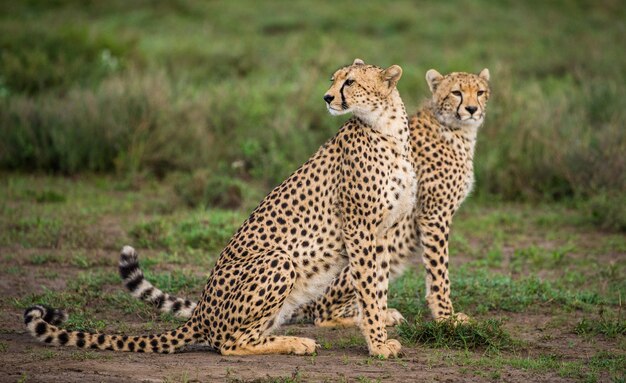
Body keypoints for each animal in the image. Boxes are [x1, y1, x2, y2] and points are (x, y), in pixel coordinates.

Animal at [23, 58, 414, 358]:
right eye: (333, 78)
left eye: (350, 81)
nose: (328, 96)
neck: (388, 128)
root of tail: (200, 312)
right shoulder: (360, 229)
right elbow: (370, 290)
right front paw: (378, 346)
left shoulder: (381, 233)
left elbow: (376, 287)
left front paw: (378, 332)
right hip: (279, 260)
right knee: (227, 343)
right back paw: (295, 342)